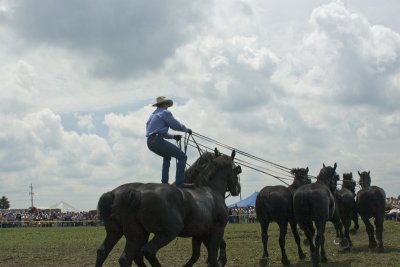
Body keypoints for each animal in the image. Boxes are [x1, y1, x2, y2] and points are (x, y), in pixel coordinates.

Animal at [95, 150, 241, 266]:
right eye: (237, 171)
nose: (237, 189)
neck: (210, 190)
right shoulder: (217, 230)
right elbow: (212, 256)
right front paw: (221, 260)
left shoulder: (201, 233)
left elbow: (199, 255)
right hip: (165, 233)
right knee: (144, 253)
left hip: (122, 232)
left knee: (106, 252)